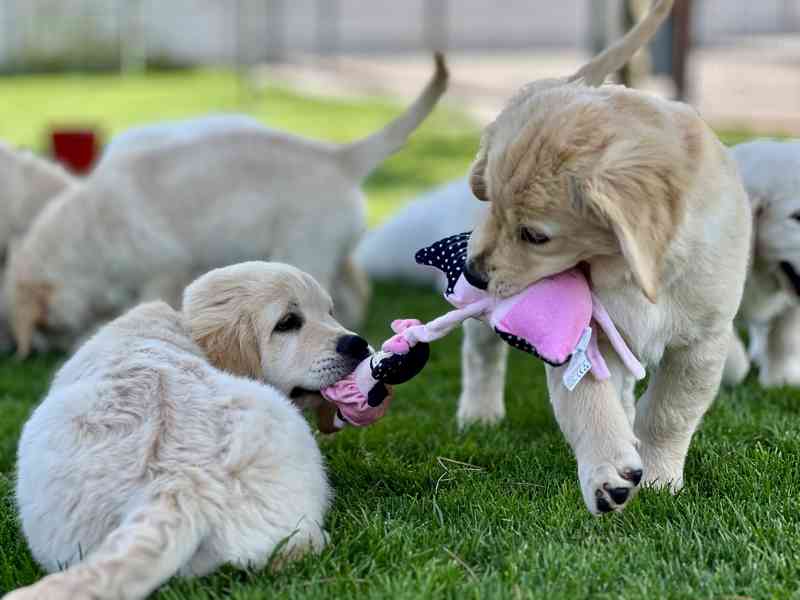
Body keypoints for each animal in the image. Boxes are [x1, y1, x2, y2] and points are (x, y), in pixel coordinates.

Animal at [6, 55, 446, 356]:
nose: (18, 350)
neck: (89, 235)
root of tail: (338, 156)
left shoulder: (163, 270)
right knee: (353, 288)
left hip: (305, 247)